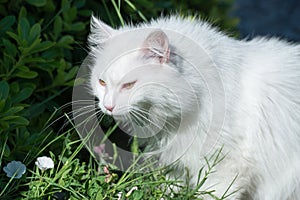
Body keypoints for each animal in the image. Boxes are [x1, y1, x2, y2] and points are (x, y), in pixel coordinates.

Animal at [88, 16, 300, 200]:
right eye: (102, 82)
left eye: (129, 85)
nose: (107, 106)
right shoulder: (177, 164)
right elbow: (168, 190)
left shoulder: (226, 166)